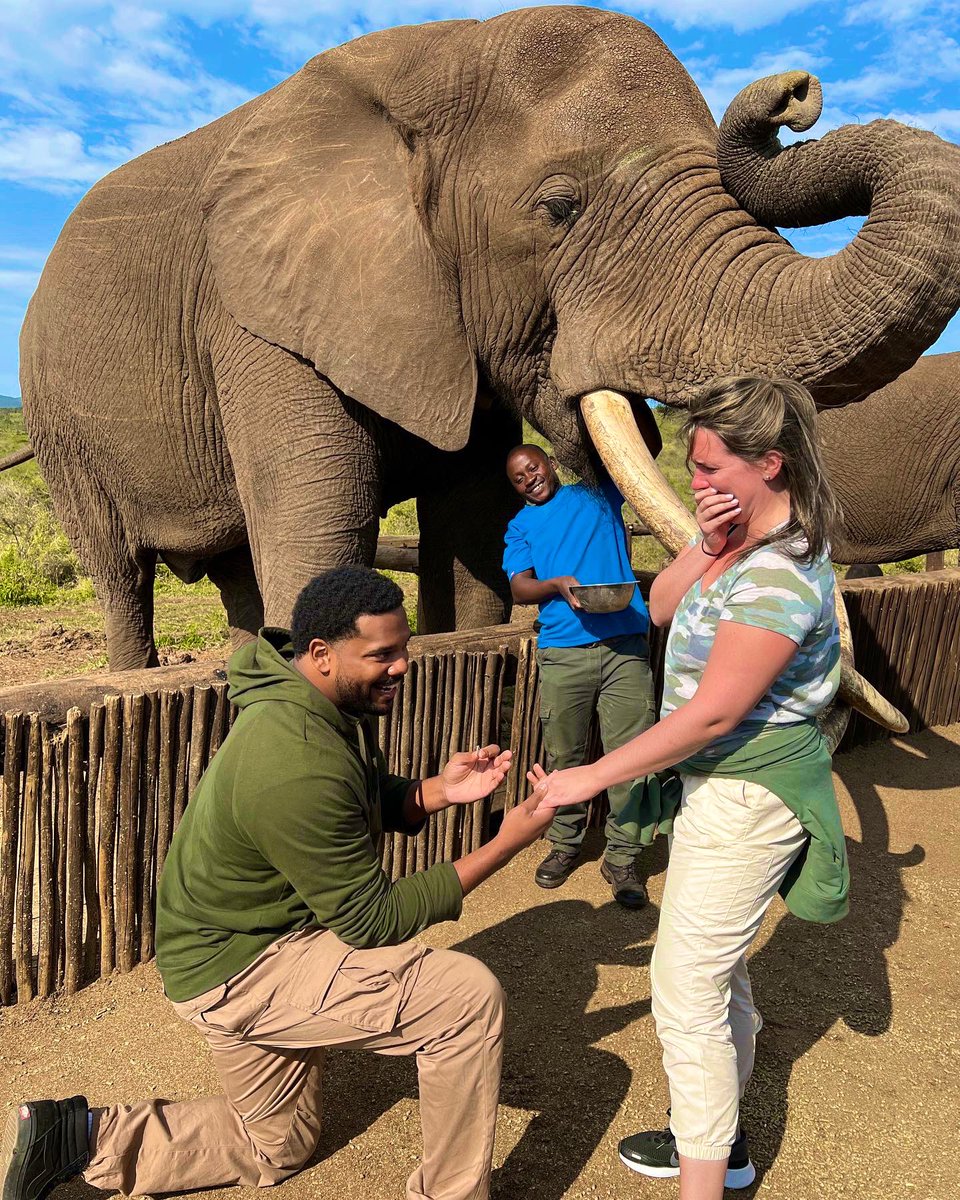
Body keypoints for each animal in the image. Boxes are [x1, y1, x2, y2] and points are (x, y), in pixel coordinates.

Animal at [16, 5, 960, 702]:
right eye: (557, 208)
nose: (795, 92)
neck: (437, 55)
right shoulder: (254, 313)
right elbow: (326, 517)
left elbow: (473, 517)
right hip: (59, 422)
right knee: (120, 576)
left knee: (230, 571)